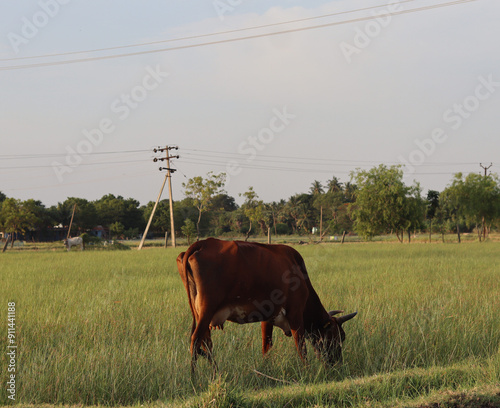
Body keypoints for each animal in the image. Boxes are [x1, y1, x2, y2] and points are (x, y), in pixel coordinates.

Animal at [176, 239, 356, 370]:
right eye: (338, 337)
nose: (338, 365)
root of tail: (203, 243)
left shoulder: (268, 317)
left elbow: (266, 347)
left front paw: (264, 369)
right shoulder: (296, 313)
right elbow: (301, 346)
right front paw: (307, 370)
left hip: (201, 314)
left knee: (206, 343)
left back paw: (216, 373)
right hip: (207, 310)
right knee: (196, 341)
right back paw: (195, 379)